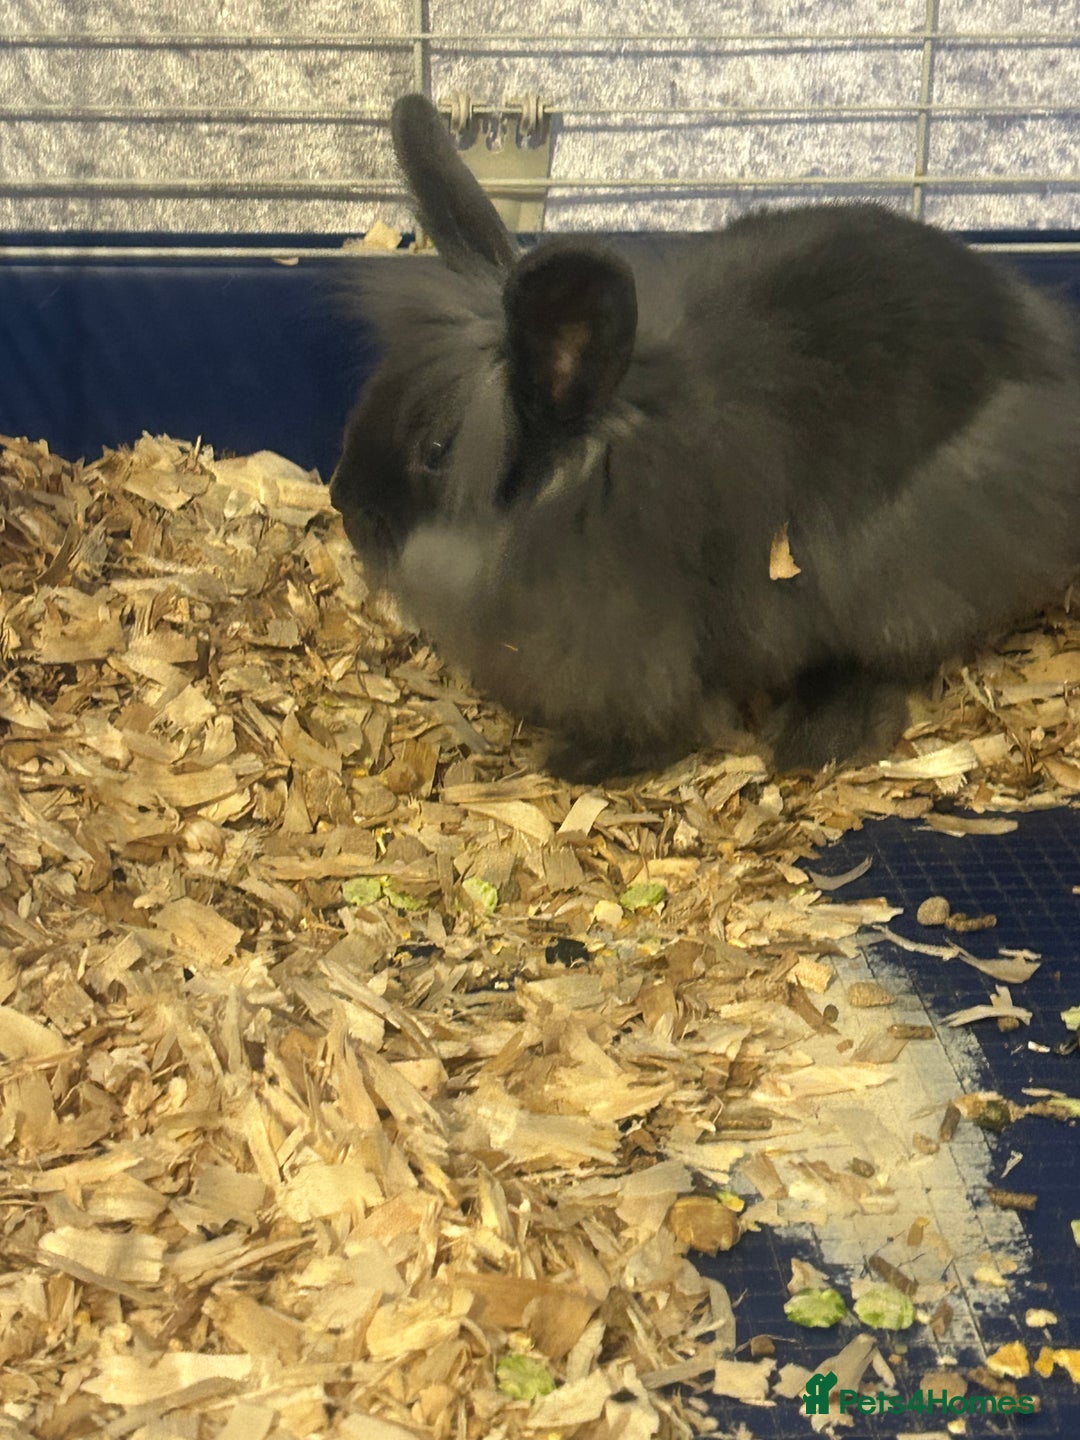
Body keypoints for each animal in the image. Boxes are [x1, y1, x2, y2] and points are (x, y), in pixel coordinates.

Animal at [329, 92, 1080, 784]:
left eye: (434, 452)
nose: (344, 505)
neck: (590, 484)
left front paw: (581, 762)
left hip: (912, 572)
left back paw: (818, 737)